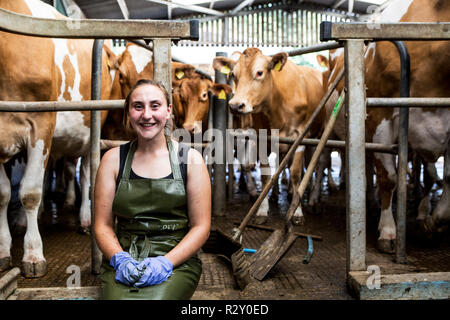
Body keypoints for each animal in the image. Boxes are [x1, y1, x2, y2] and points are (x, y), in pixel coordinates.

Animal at [213, 48, 326, 225]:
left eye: (259, 72)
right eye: (233, 74)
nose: (236, 106)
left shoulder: (300, 137)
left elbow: (296, 174)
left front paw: (297, 211)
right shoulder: (262, 139)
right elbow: (266, 174)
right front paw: (262, 210)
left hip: (317, 135)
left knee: (314, 164)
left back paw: (311, 197)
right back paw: (275, 195)